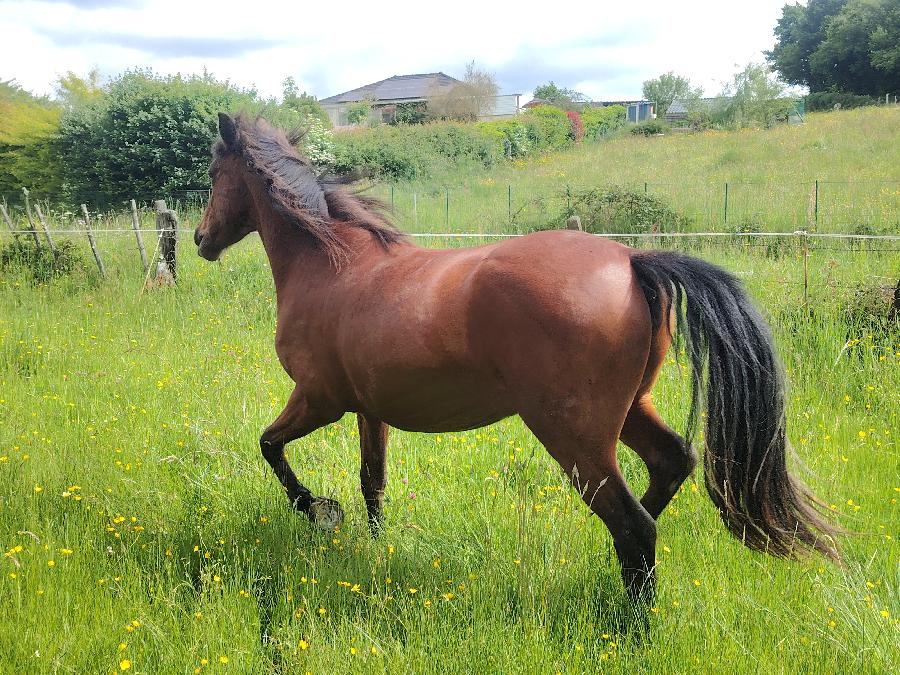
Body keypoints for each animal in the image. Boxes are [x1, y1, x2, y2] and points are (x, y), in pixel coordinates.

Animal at [194, 113, 840, 602]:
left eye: (213, 171)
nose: (200, 240)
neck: (331, 264)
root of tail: (634, 261)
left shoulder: (318, 399)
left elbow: (270, 447)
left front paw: (320, 511)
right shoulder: (367, 409)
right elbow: (371, 482)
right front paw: (371, 549)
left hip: (572, 435)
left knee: (634, 524)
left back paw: (633, 626)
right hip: (629, 412)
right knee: (667, 470)